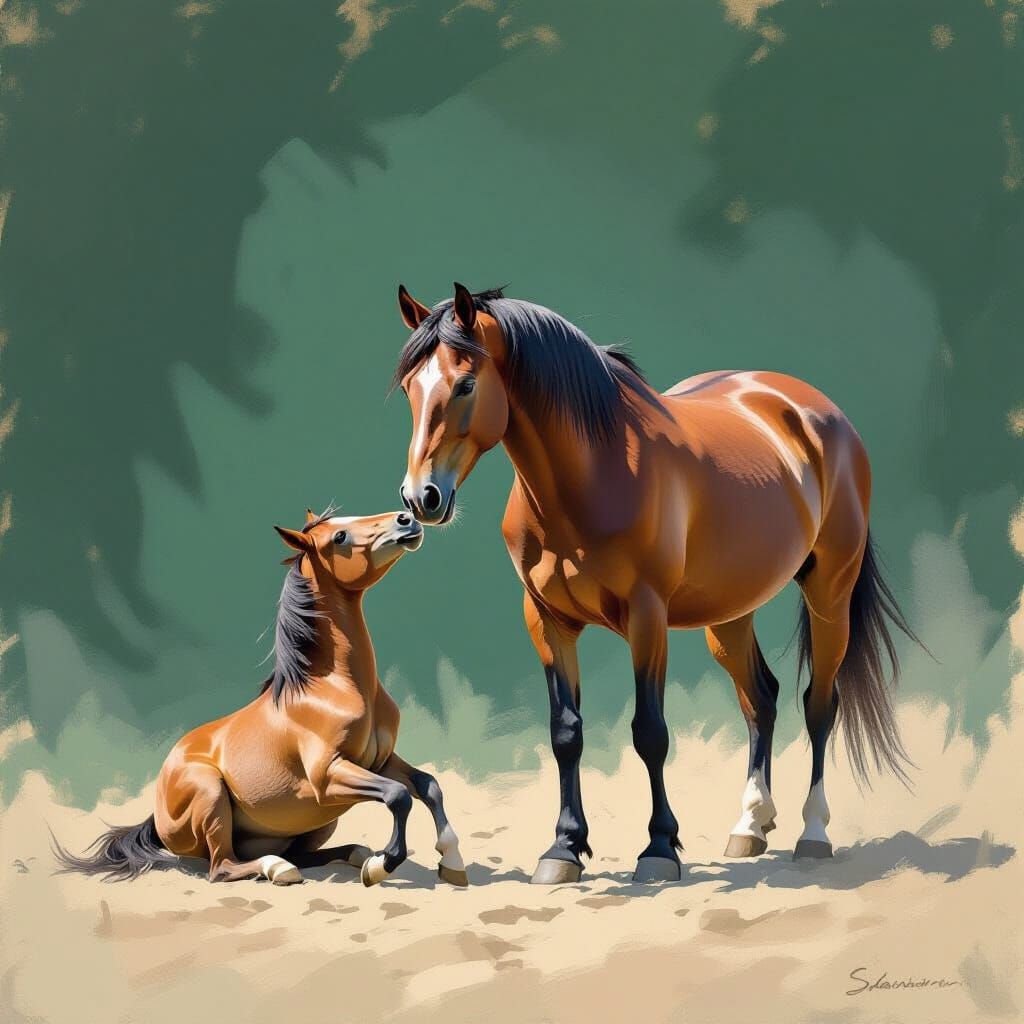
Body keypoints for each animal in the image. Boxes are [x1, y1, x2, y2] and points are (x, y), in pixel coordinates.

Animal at [54, 507, 468, 888]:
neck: (334, 688)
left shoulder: (380, 761)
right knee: (222, 867)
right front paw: (382, 865)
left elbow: (428, 785)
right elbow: (398, 796)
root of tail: (157, 813)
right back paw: (279, 868)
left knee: (299, 855)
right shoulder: (329, 775)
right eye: (340, 537)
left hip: (319, 820)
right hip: (213, 796)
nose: (406, 519)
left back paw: (352, 852)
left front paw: (452, 863)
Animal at [393, 282, 921, 885]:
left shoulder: (647, 618)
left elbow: (650, 732)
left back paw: (813, 834)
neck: (593, 477)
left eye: (466, 383)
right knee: (760, 699)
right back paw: (750, 825)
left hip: (829, 592)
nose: (420, 498)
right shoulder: (547, 621)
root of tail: (820, 412)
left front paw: (660, 847)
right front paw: (564, 848)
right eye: (410, 386)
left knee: (819, 704)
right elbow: (565, 732)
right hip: (730, 611)